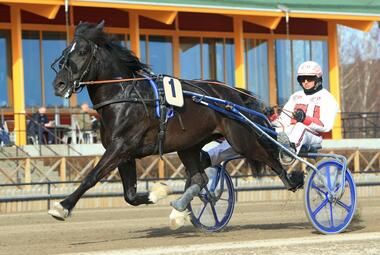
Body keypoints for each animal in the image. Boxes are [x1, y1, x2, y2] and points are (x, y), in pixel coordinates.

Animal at [48, 20, 302, 220]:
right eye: (66, 52)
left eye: (82, 52)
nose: (59, 84)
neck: (124, 97)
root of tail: (231, 93)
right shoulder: (123, 152)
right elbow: (130, 195)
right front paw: (158, 193)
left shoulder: (121, 146)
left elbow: (92, 176)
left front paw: (62, 206)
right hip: (188, 145)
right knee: (200, 176)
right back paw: (180, 209)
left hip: (241, 139)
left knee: (268, 155)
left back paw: (293, 179)